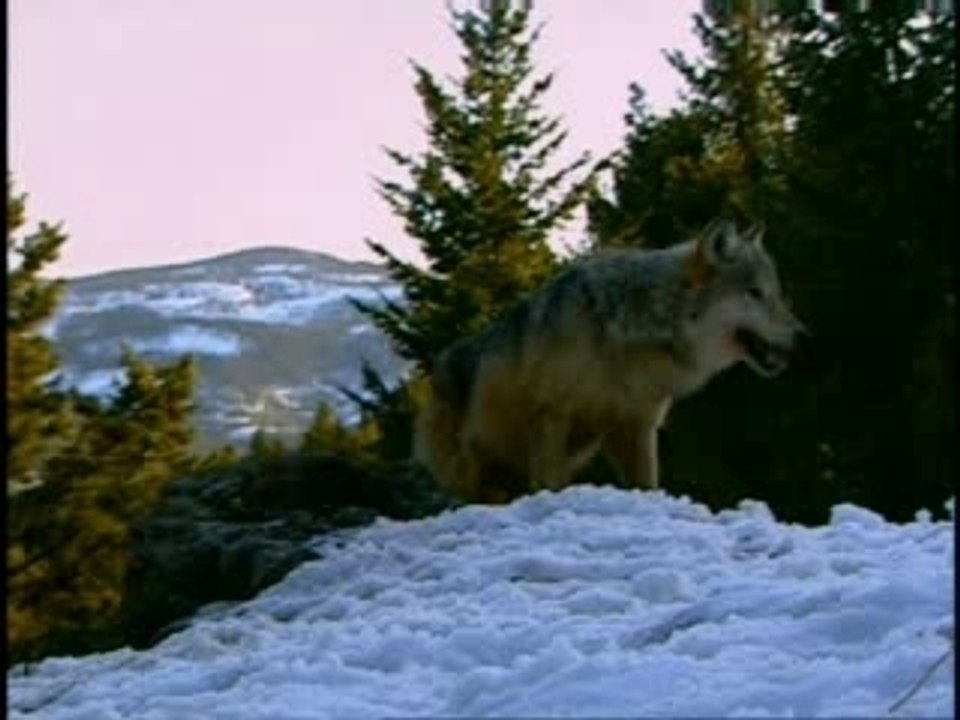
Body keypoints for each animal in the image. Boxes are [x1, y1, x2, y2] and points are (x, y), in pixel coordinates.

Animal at [415, 219, 805, 504]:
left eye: (776, 293)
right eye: (755, 293)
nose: (803, 335)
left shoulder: (634, 424)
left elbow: (646, 485)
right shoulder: (552, 412)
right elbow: (549, 483)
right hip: (474, 464)